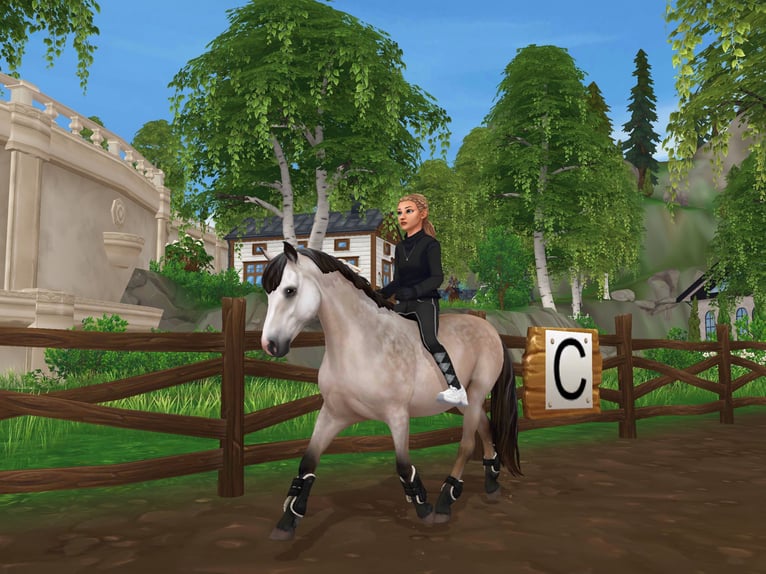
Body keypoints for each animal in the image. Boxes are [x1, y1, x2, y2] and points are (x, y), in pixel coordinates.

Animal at [260, 242, 521, 540]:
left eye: (290, 290)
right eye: (268, 293)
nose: (270, 345)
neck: (360, 345)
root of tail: (491, 329)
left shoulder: (397, 415)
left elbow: (403, 465)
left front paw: (424, 508)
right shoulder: (333, 414)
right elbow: (307, 464)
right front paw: (288, 520)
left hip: (477, 394)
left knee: (466, 444)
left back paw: (446, 500)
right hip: (466, 402)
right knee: (486, 428)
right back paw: (491, 483)